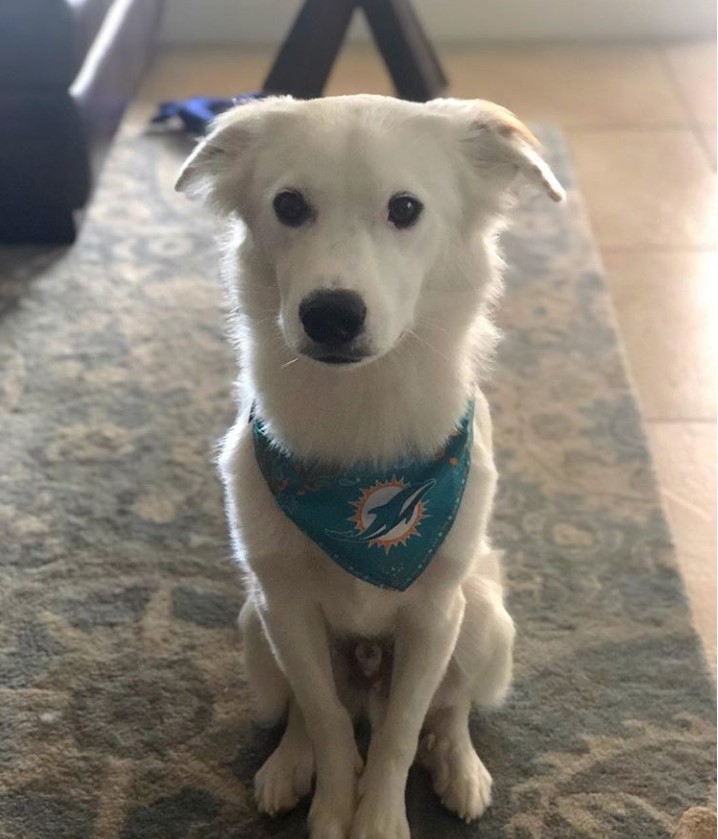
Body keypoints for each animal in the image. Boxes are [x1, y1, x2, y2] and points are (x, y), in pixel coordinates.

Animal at [177, 93, 564, 839]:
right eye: (289, 205)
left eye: (405, 208)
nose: (331, 314)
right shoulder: (286, 604)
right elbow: (328, 719)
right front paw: (334, 804)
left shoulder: (435, 612)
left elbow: (401, 732)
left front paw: (379, 817)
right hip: (256, 627)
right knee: (307, 706)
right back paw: (289, 763)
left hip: (481, 617)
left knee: (448, 708)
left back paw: (460, 766)